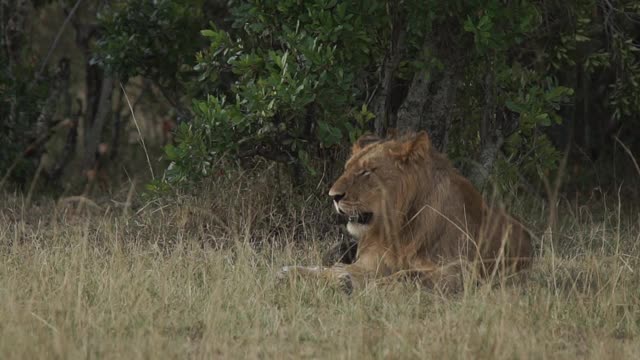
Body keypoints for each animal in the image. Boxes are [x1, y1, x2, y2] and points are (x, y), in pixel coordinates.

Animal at [278, 131, 532, 292]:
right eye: (347, 168)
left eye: (366, 172)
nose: (333, 196)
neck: (398, 228)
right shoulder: (373, 261)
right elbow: (334, 269)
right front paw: (295, 271)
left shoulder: (460, 271)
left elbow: (407, 274)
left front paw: (366, 285)